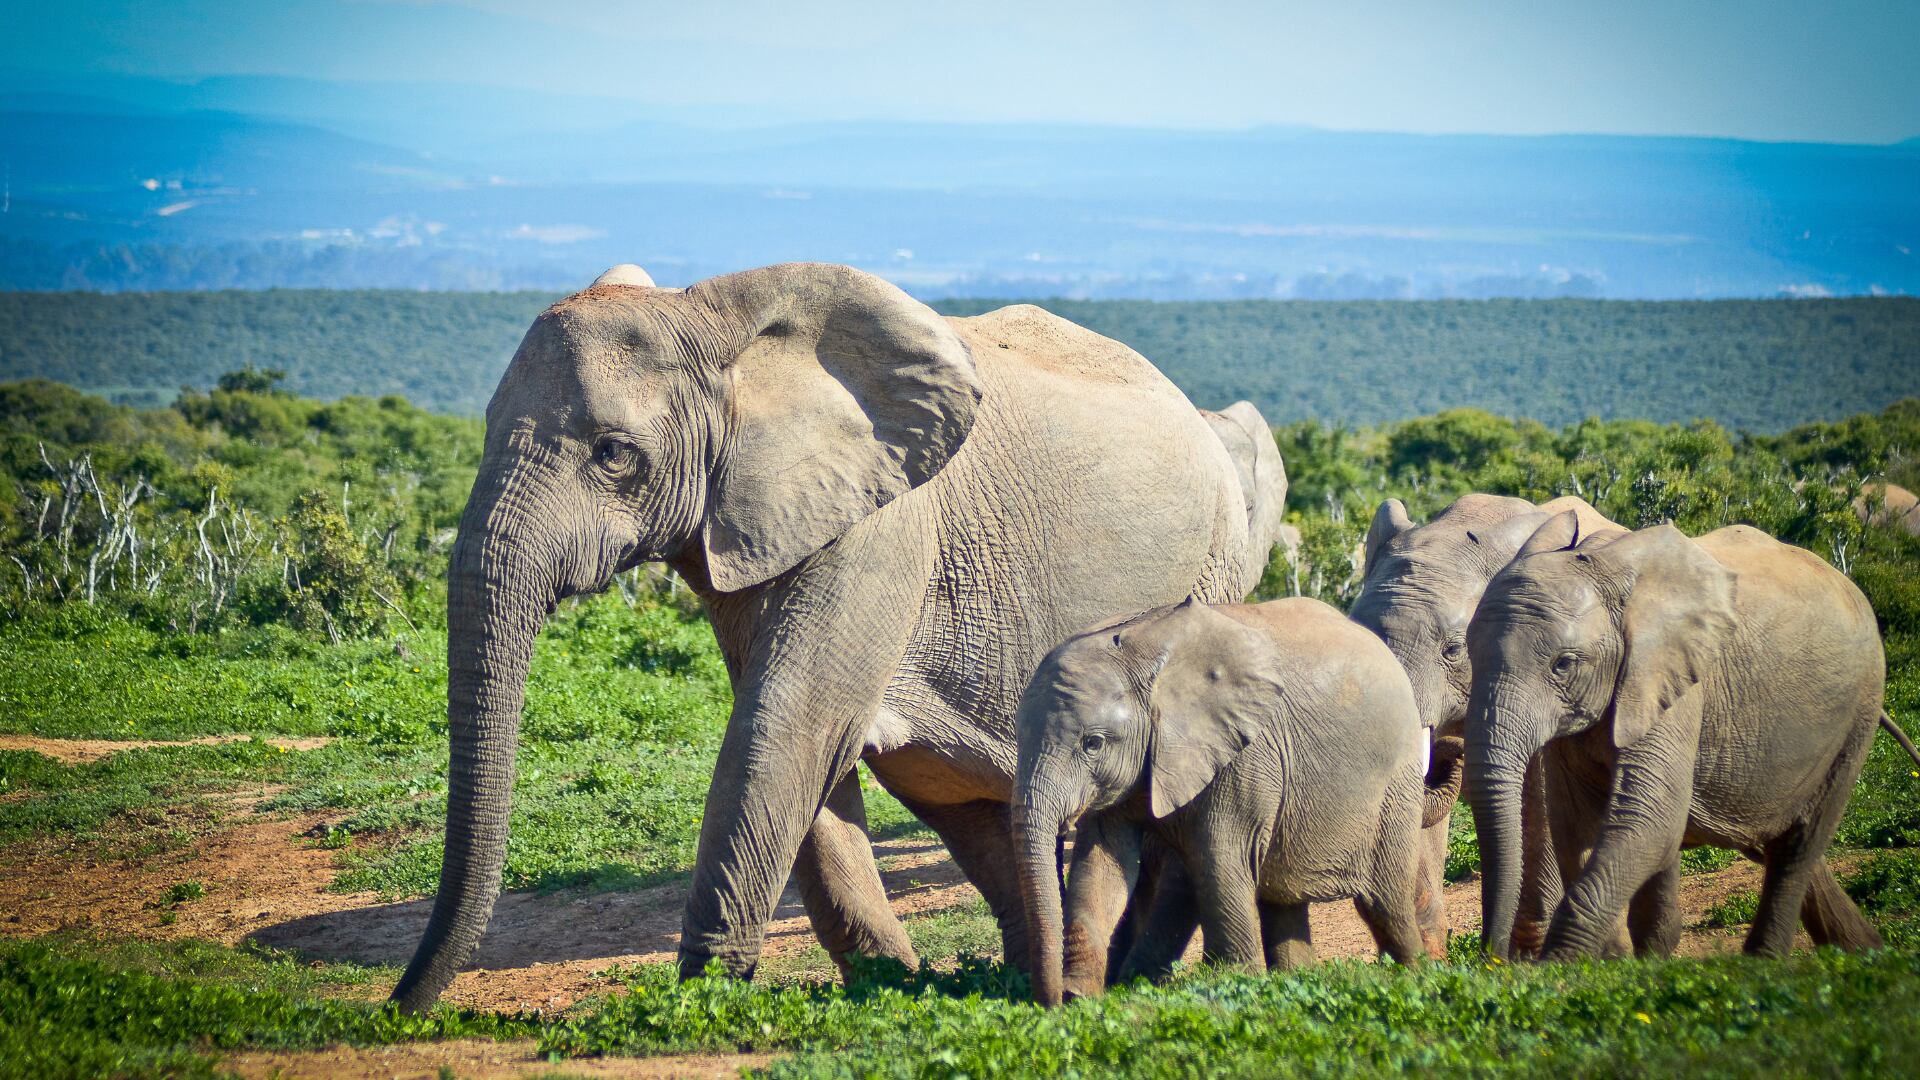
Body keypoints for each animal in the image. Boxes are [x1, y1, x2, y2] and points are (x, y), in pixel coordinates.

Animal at [390, 262, 1271, 1010]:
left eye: (613, 453)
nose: (399, 1010)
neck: (710, 319)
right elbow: (801, 739)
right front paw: (894, 982)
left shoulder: (881, 527)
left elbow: (786, 725)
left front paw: (703, 998)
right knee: (958, 797)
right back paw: (1028, 981)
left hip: (1216, 562)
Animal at [1013, 596, 1440, 1006]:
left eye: (1093, 743)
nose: (1050, 1004)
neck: (1143, 650)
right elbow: (1100, 865)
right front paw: (1079, 997)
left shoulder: (1246, 756)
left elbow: (1219, 857)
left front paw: (1233, 983)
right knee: (1282, 898)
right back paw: (1298, 979)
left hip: (1396, 784)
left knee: (1382, 902)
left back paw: (1414, 976)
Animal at [1465, 513, 1920, 960]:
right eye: (1468, 653)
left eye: (1563, 664)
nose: (1496, 959)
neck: (1606, 565)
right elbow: (1579, 824)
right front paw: (1615, 964)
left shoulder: (1672, 681)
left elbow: (1651, 818)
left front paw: (1563, 968)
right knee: (1774, 841)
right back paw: (1865, 951)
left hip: (1860, 707)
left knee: (1801, 843)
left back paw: (1765, 963)